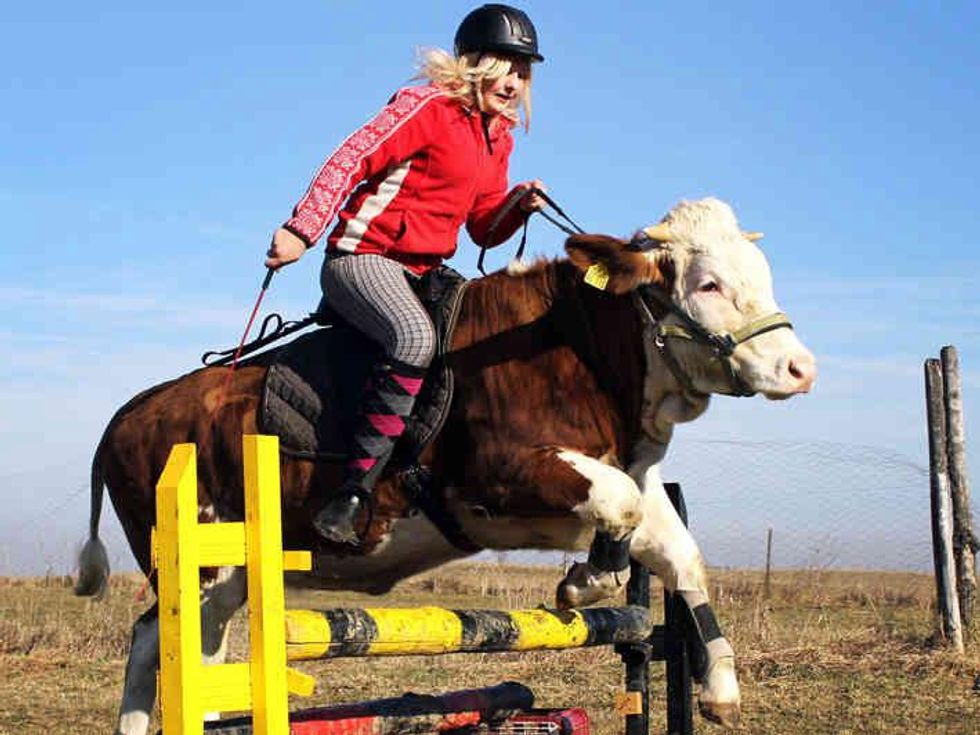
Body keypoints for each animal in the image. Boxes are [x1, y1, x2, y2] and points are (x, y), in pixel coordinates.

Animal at [75, 197, 815, 735]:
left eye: (762, 276)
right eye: (708, 283)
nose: (799, 367)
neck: (576, 348)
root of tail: (132, 411)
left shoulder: (616, 479)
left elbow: (678, 554)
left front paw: (718, 684)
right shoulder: (495, 474)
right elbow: (619, 509)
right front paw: (585, 581)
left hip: (227, 578)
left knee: (189, 645)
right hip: (197, 565)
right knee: (156, 641)